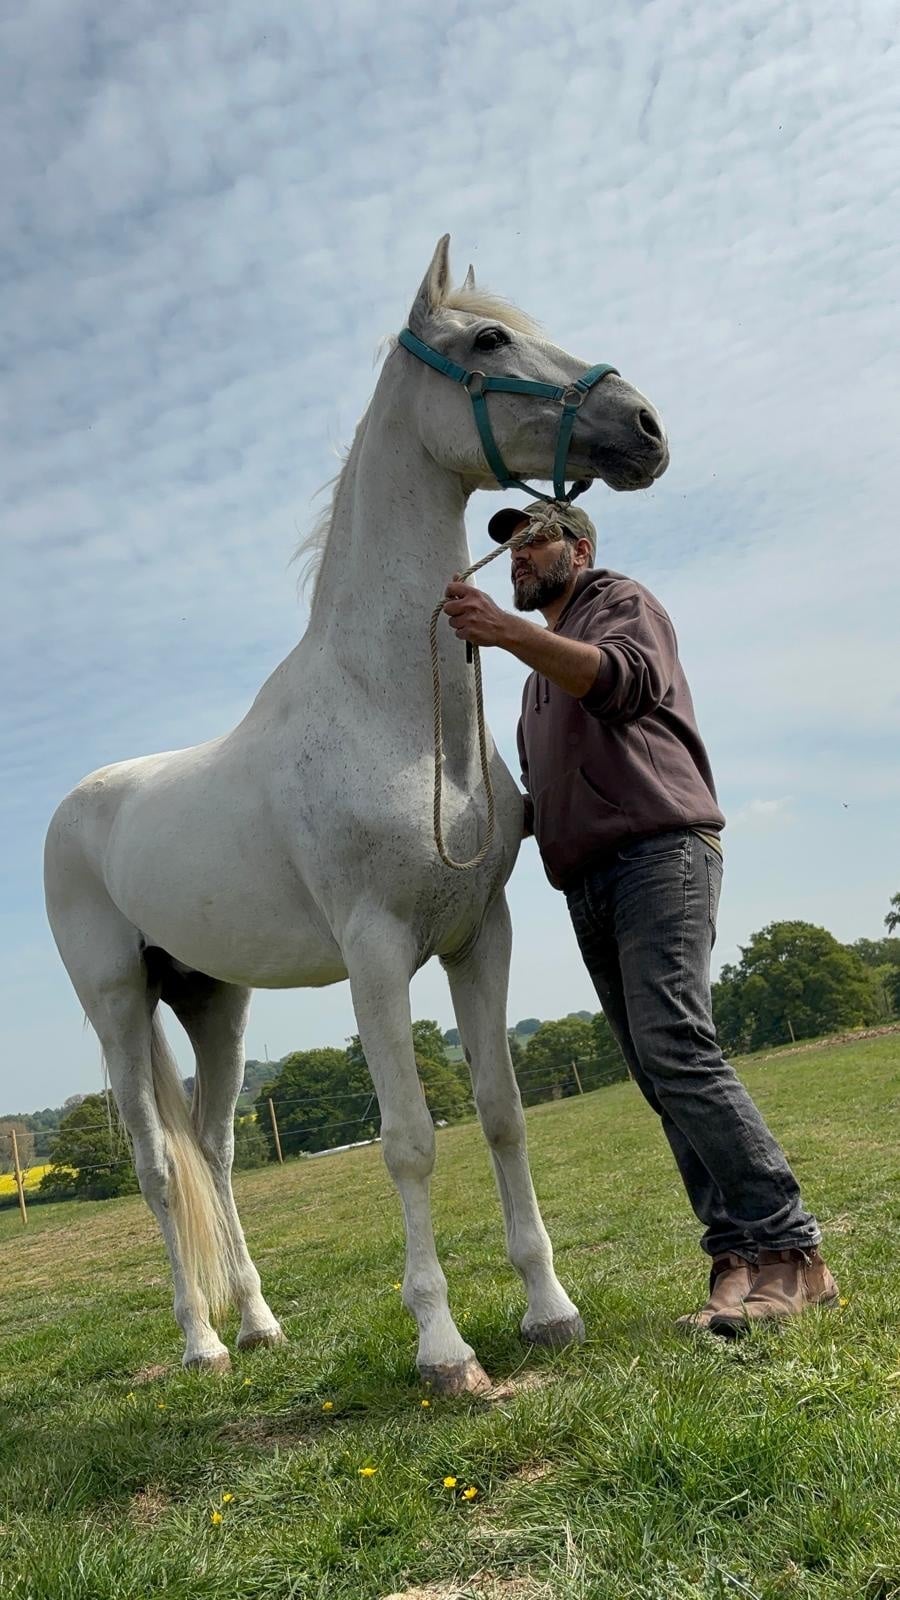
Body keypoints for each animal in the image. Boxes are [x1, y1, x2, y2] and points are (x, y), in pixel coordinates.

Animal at [44, 237, 669, 1393]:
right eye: (487, 339)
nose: (644, 425)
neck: (397, 714)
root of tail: (77, 807)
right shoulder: (376, 953)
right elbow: (410, 1138)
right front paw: (445, 1348)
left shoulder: (480, 937)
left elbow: (502, 1114)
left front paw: (549, 1309)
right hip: (115, 1003)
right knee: (159, 1168)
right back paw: (201, 1343)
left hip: (215, 1003)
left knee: (216, 1150)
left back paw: (258, 1323)